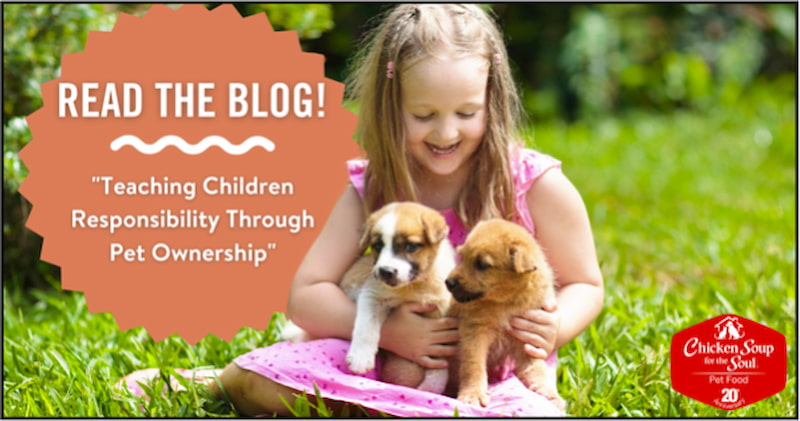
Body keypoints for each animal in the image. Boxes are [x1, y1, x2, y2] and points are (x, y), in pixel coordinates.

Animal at [446, 220, 564, 410]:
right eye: (462, 256)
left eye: (482, 264)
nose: (448, 283)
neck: (506, 303)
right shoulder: (474, 332)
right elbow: (473, 365)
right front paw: (473, 394)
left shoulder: (526, 337)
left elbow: (535, 367)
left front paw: (548, 393)